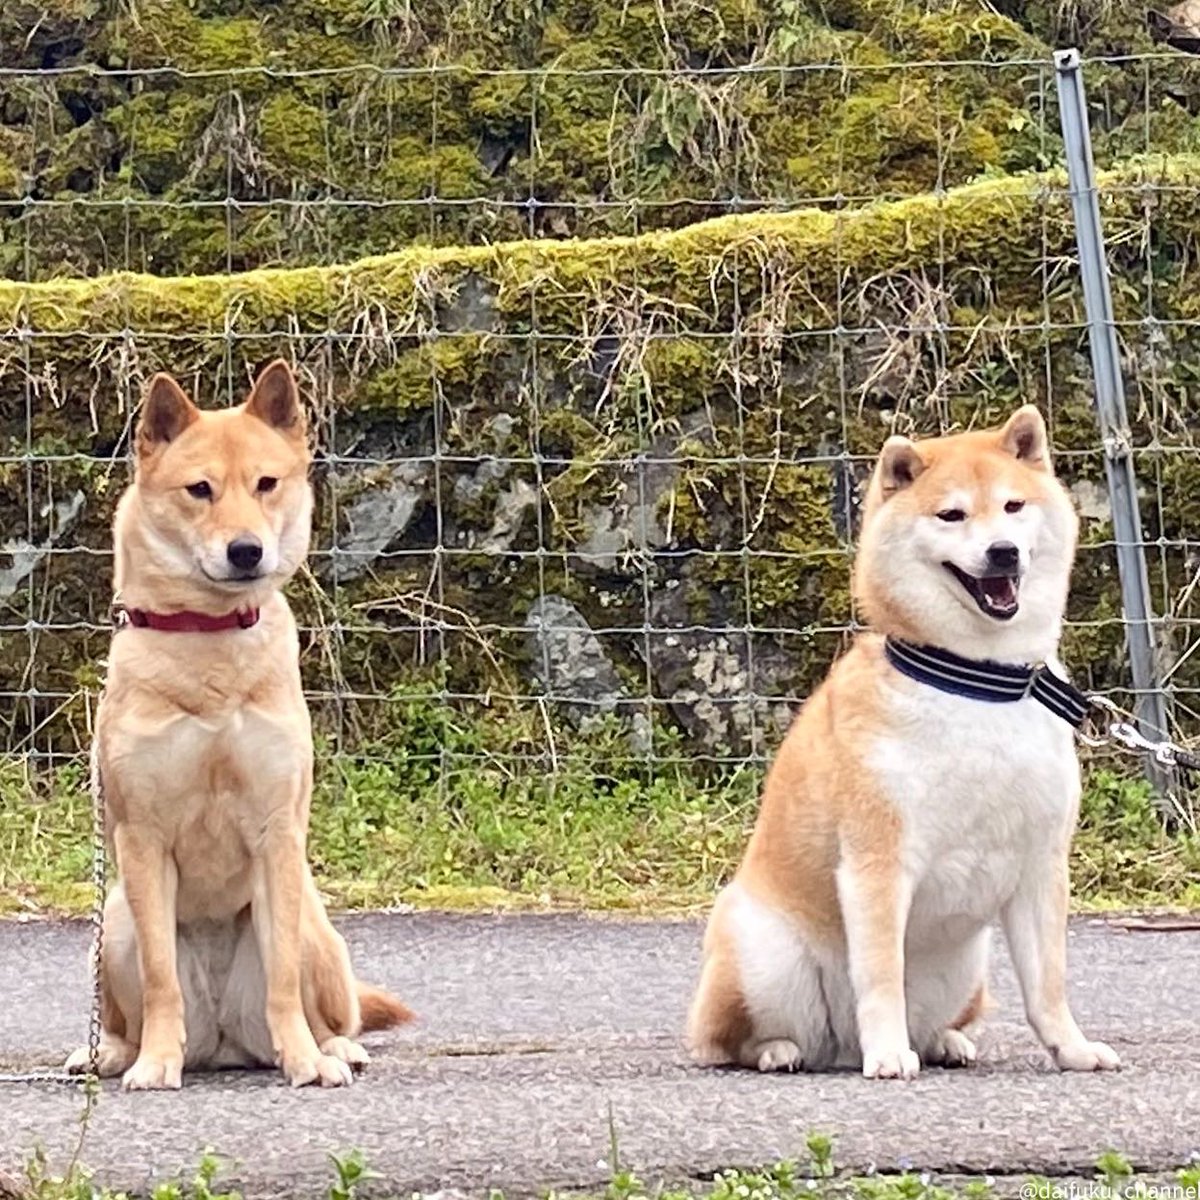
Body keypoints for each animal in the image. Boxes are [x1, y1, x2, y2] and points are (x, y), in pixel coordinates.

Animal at [66, 360, 412, 1094]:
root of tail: (224, 1042)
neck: (210, 643)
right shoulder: (143, 839)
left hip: (315, 927)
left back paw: (333, 1049)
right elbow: (162, 981)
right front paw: (156, 1063)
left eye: (266, 484)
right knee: (125, 1014)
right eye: (200, 490)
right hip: (115, 926)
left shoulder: (276, 834)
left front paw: (305, 1063)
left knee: (332, 1011)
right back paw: (111, 1053)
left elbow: (281, 978)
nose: (247, 550)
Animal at [691, 403, 1118, 1080]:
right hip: (762, 950)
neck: (978, 682)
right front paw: (889, 1053)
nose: (1002, 552)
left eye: (1013, 506)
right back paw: (782, 1051)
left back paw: (945, 1042)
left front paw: (1072, 1050)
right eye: (952, 515)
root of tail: (840, 1048)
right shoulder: (878, 862)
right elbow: (881, 974)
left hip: (967, 966)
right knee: (728, 1040)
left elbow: (1048, 986)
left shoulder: (1041, 865)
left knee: (947, 1016)